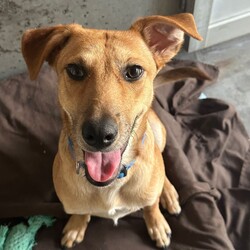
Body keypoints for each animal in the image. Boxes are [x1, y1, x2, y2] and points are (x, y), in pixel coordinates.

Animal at [21, 13, 201, 248]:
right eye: (75, 70)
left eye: (134, 71)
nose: (99, 134)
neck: (110, 184)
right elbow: (81, 211)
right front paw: (77, 224)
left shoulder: (148, 192)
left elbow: (151, 207)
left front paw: (157, 223)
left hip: (159, 133)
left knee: (161, 162)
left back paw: (168, 192)